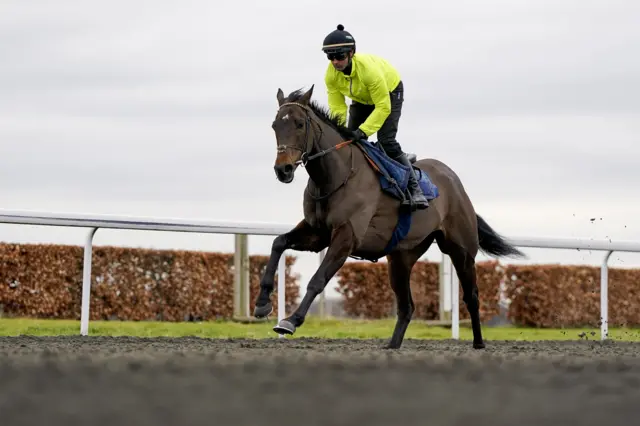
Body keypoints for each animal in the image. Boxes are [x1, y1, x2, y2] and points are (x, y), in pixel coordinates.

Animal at [252, 84, 524, 350]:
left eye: (299, 124)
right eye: (275, 125)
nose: (283, 169)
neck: (335, 176)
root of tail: (453, 181)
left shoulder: (346, 236)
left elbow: (318, 279)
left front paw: (290, 321)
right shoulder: (317, 232)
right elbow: (278, 242)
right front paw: (262, 303)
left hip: (461, 250)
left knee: (471, 295)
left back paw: (478, 344)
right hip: (401, 257)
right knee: (407, 306)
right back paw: (392, 346)